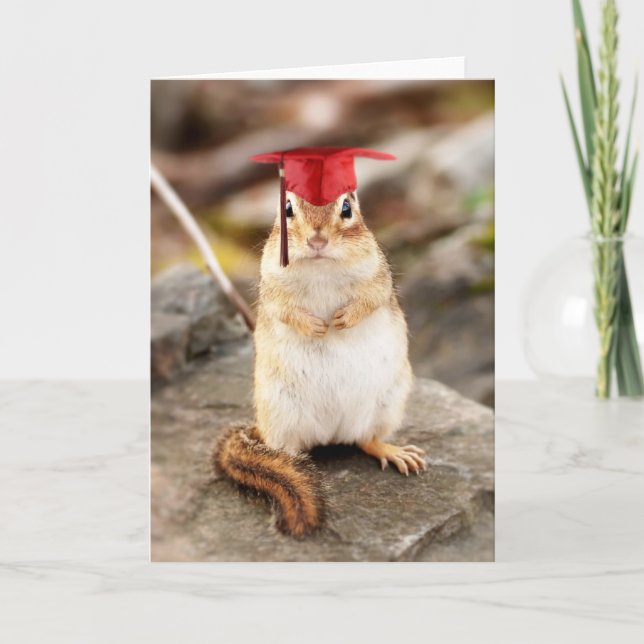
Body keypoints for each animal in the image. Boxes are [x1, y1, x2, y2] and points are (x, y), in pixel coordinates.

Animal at [214, 190, 426, 538]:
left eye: (347, 208)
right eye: (287, 208)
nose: (317, 240)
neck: (320, 267)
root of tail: (330, 435)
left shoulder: (378, 274)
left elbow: (372, 297)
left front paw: (343, 319)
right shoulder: (270, 284)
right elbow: (283, 308)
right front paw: (313, 326)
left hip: (387, 406)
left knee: (367, 440)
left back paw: (394, 452)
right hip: (281, 415)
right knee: (287, 455)